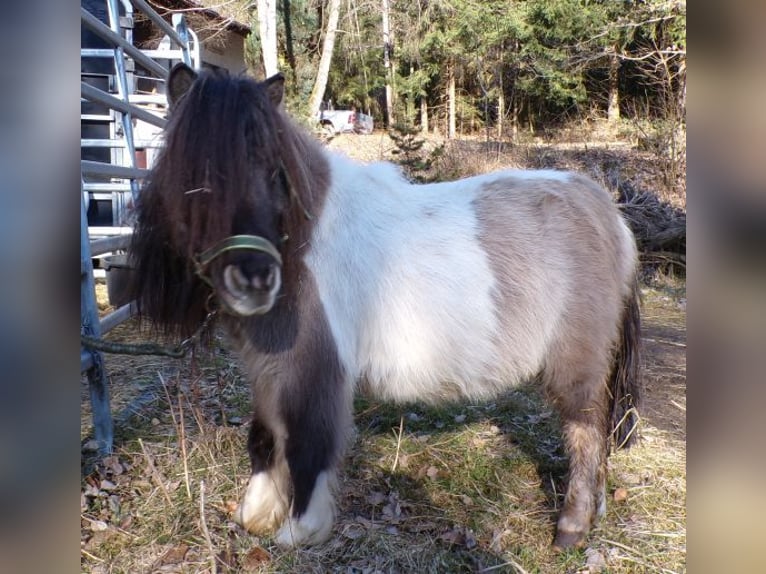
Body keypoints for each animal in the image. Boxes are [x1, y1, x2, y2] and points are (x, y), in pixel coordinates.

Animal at [127, 63, 642, 550]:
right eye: (195, 178)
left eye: (277, 172)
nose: (255, 280)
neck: (301, 247)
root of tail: (606, 210)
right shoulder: (268, 370)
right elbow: (265, 436)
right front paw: (256, 514)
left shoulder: (314, 368)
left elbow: (309, 443)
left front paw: (300, 529)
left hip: (576, 368)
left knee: (585, 432)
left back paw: (573, 526)